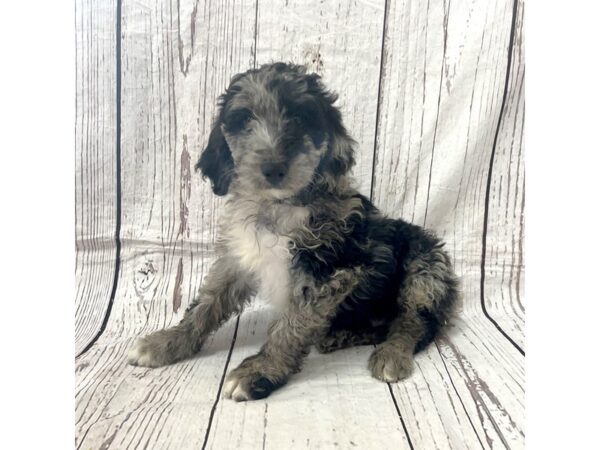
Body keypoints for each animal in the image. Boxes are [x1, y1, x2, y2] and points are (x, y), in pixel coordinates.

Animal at [127, 60, 460, 400]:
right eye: (244, 119)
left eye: (300, 118)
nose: (273, 168)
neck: (278, 207)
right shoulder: (237, 259)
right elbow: (206, 303)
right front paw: (168, 341)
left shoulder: (327, 270)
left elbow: (291, 325)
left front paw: (259, 371)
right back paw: (343, 335)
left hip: (425, 268)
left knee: (416, 320)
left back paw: (392, 354)